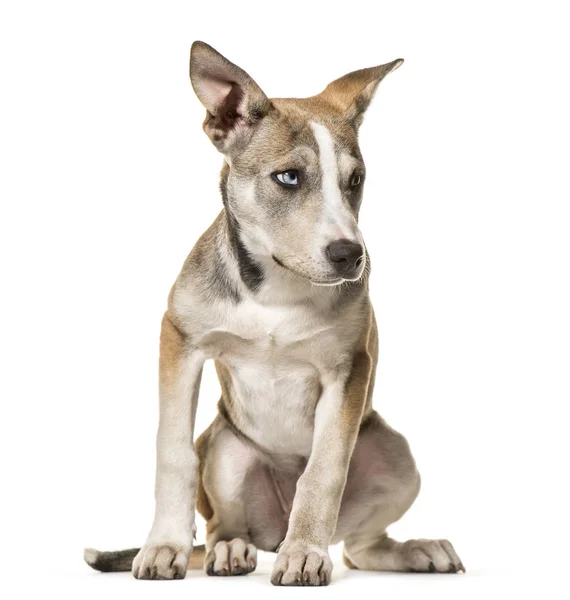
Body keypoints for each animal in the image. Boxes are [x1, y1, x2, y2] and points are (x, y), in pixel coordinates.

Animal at [85, 41, 466, 584]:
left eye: (355, 180)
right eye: (288, 177)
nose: (351, 256)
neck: (276, 290)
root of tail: (271, 529)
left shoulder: (348, 368)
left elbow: (323, 472)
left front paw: (304, 552)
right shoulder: (179, 340)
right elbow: (172, 454)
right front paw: (163, 546)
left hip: (395, 454)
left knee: (357, 547)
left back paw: (412, 549)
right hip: (225, 449)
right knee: (222, 527)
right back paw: (230, 551)